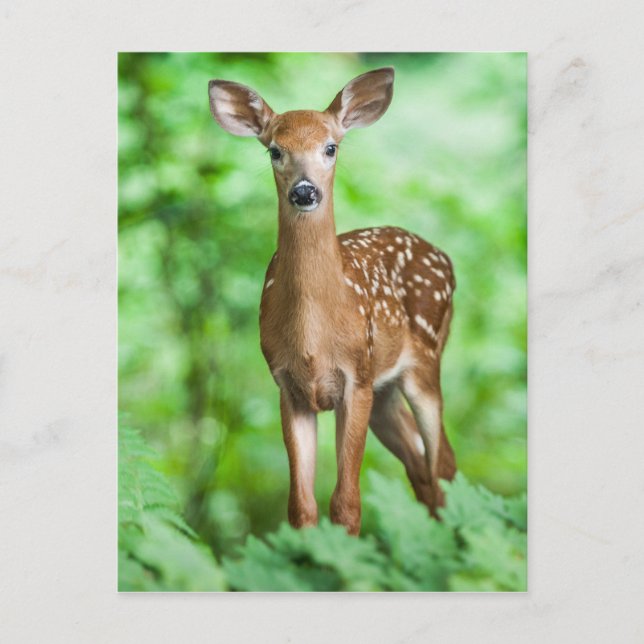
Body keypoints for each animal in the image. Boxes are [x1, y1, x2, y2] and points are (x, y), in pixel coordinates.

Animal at [208, 67, 456, 535]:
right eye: (275, 150)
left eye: (330, 147)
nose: (305, 192)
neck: (313, 337)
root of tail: (444, 256)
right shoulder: (288, 387)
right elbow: (301, 508)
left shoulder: (356, 378)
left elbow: (346, 504)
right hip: (386, 391)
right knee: (422, 466)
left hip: (425, 363)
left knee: (443, 464)